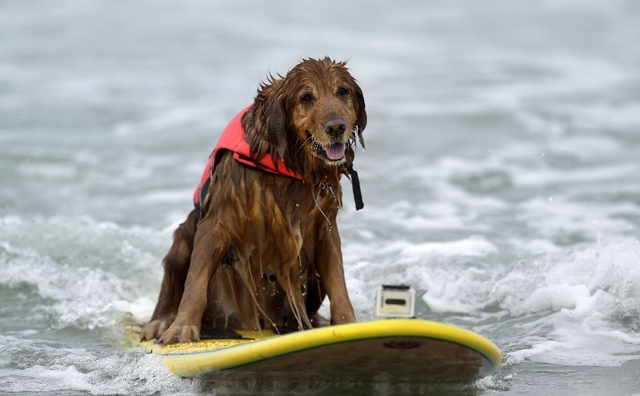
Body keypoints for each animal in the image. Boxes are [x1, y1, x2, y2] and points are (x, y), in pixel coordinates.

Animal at [142, 57, 368, 344]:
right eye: (306, 97)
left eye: (343, 92)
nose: (337, 127)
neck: (290, 167)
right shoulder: (217, 222)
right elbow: (196, 281)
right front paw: (182, 327)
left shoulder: (324, 230)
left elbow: (338, 282)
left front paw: (348, 324)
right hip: (181, 242)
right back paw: (160, 322)